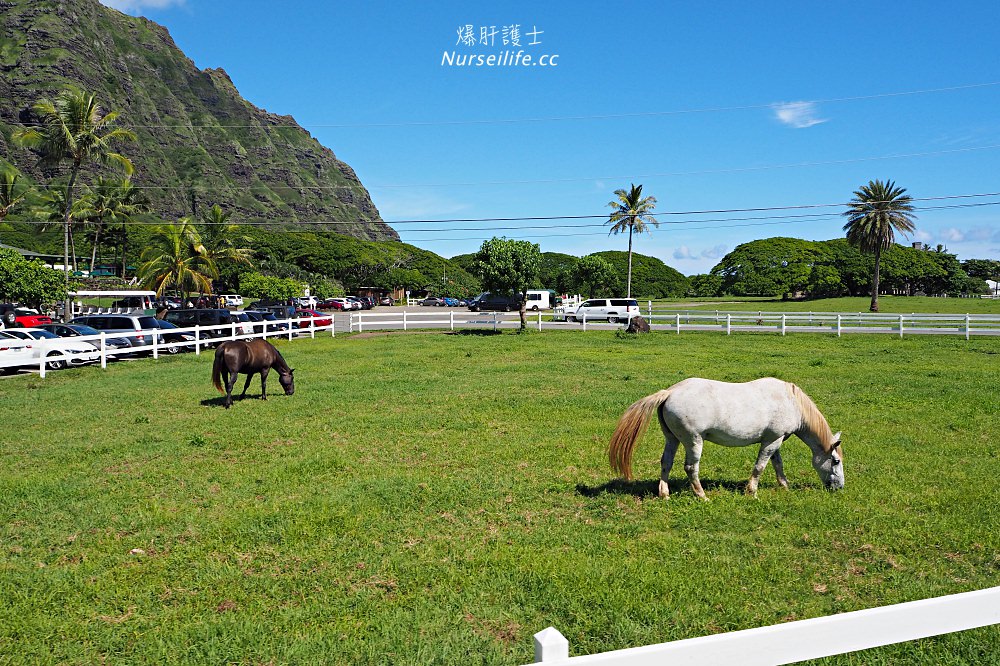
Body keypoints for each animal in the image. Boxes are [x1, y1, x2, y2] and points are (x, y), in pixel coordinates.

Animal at [608, 376, 844, 496]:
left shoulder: (773, 441)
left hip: (672, 439)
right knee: (691, 468)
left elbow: (777, 464)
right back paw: (701, 495)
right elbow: (760, 467)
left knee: (666, 462)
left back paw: (664, 493)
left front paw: (784, 486)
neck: (790, 401)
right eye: (835, 461)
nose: (839, 487)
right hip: (693, 441)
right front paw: (752, 492)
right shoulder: (772, 440)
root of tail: (669, 392)